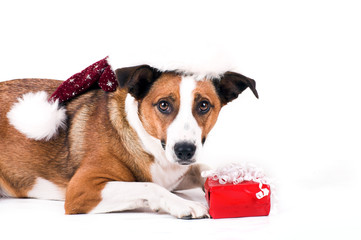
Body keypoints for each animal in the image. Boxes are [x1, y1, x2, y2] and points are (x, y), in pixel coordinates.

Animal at [0, 64, 258, 218]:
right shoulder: (81, 189)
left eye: (204, 105)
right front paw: (183, 204)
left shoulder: (174, 176)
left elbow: (202, 168)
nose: (185, 150)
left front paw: (228, 178)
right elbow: (147, 185)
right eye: (163, 104)